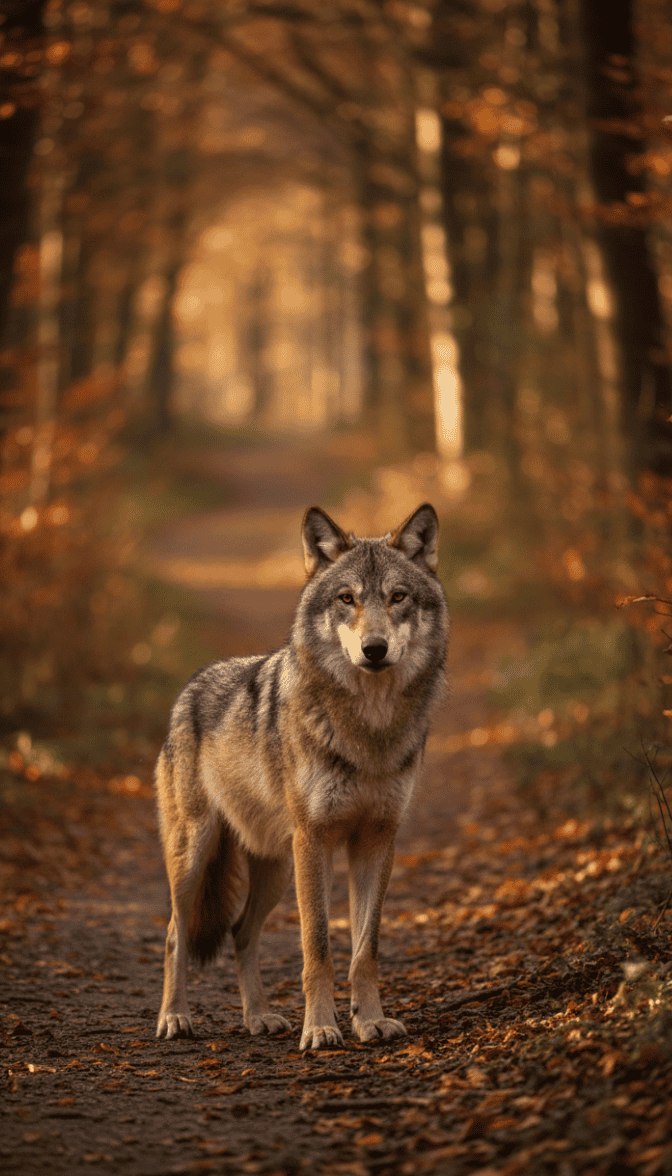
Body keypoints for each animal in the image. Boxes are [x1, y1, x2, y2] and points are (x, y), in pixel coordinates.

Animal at [155, 502, 448, 1049]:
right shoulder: (315, 839)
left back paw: (258, 1017)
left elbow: (365, 949)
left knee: (240, 933)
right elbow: (318, 946)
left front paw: (369, 1021)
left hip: (274, 867)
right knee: (174, 935)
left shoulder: (377, 840)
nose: (375, 649)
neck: (369, 730)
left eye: (398, 597)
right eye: (347, 598)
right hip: (195, 857)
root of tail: (191, 687)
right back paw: (175, 1017)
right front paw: (321, 1028)